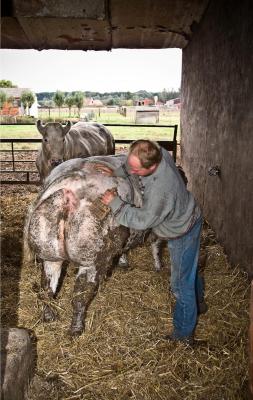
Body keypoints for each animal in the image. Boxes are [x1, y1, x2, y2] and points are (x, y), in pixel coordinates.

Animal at [22, 155, 163, 336]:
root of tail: (67, 191)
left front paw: (124, 262)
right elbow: (156, 245)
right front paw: (158, 267)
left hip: (48, 249)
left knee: (47, 287)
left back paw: (49, 317)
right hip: (91, 256)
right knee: (81, 294)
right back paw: (76, 329)